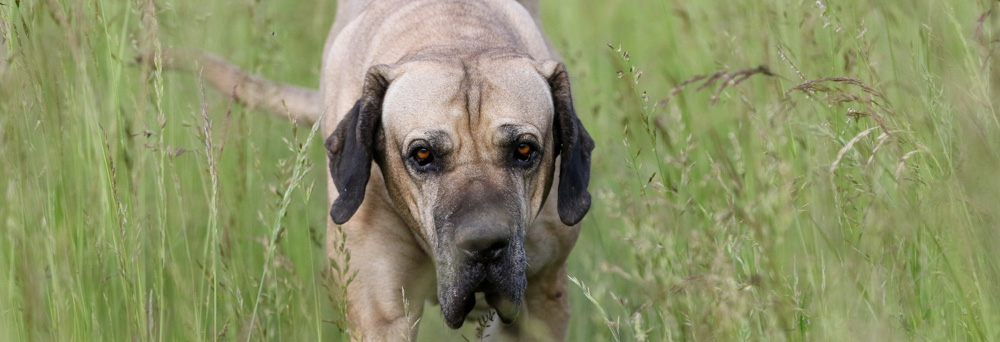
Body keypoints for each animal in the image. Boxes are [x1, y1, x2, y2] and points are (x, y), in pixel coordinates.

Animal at [159, 0, 588, 340]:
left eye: (524, 149)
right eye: (422, 155)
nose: (484, 244)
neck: (455, 35)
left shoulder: (543, 298)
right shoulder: (380, 309)